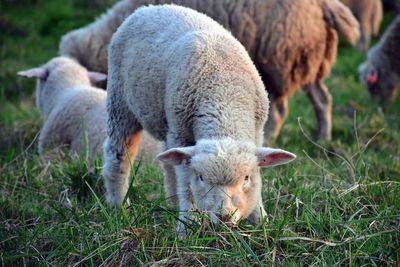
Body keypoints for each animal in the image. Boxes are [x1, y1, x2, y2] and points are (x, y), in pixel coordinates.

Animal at [58, 0, 360, 142]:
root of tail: (325, 5)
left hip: (281, 58)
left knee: (282, 109)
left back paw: (279, 135)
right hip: (307, 59)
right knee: (323, 99)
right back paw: (323, 137)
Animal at [102, 4, 296, 237]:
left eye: (246, 179)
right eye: (202, 178)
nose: (224, 217)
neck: (224, 96)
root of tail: (149, 8)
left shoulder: (257, 133)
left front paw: (262, 221)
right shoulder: (181, 134)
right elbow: (187, 184)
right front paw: (188, 225)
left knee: (168, 162)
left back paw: (171, 203)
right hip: (121, 101)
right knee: (118, 155)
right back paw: (118, 208)